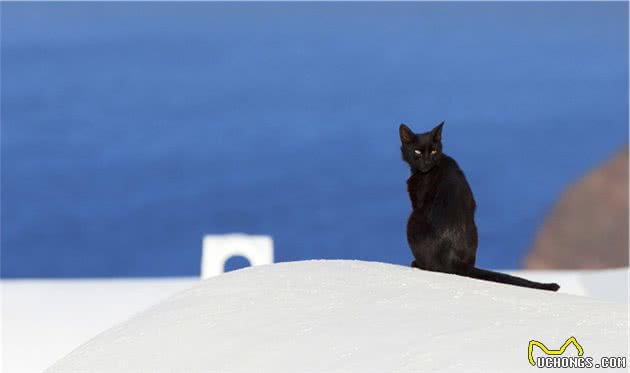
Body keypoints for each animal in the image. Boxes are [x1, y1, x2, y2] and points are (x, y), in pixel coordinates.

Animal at [402, 122, 560, 290]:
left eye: (433, 151)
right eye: (417, 151)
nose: (426, 162)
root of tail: (451, 258)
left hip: (412, 221)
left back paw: (416, 263)